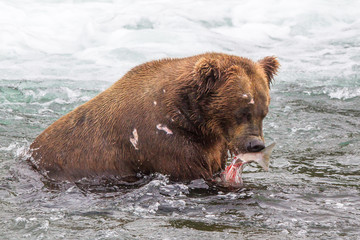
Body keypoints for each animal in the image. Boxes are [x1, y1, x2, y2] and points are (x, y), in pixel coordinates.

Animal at [29, 53, 280, 184]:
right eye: (242, 110)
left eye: (263, 111)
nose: (255, 144)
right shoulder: (162, 142)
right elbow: (194, 173)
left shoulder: (211, 143)